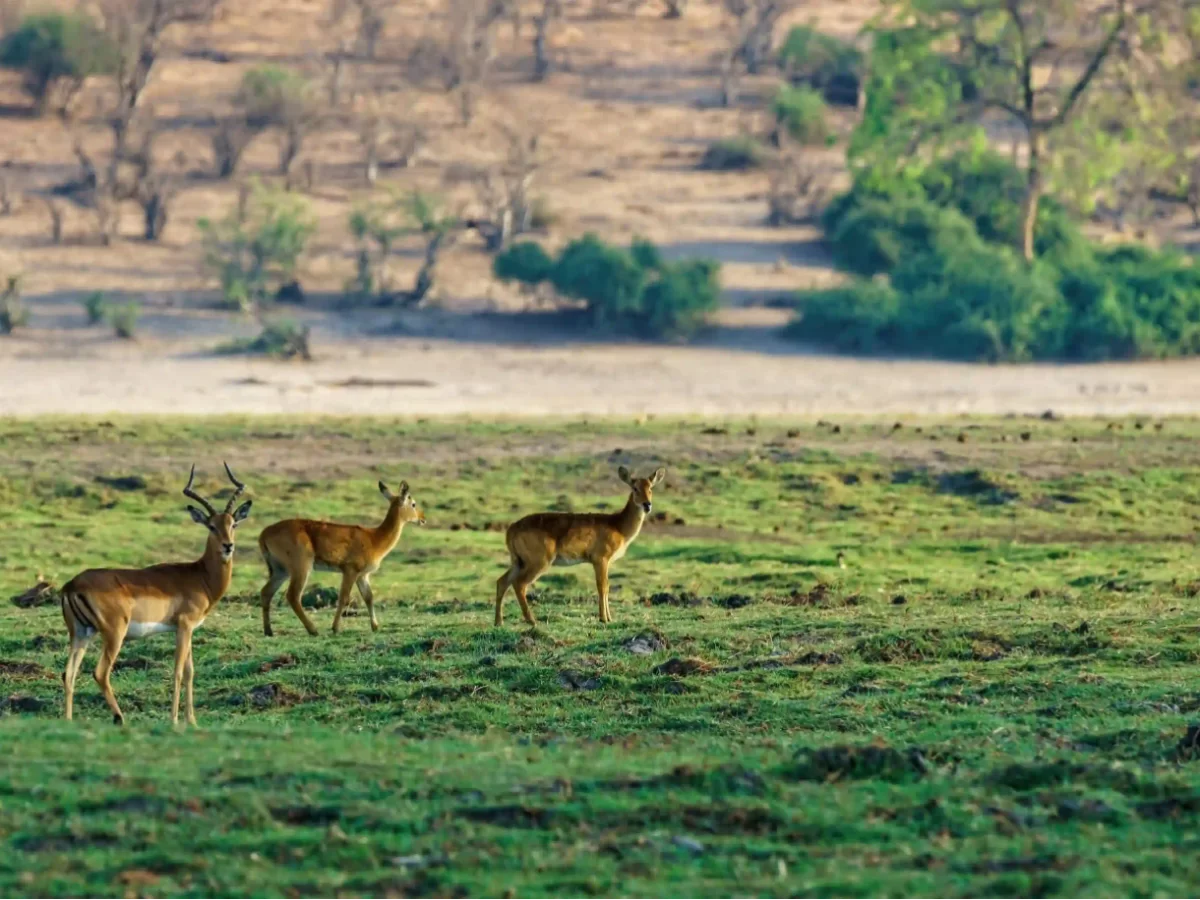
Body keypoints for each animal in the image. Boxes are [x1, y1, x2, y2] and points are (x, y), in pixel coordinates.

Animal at [59, 463, 252, 727]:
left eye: (233, 524)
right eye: (211, 526)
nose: (228, 546)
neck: (200, 576)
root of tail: (72, 585)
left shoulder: (188, 629)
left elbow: (190, 672)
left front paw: (192, 721)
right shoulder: (184, 626)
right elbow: (179, 671)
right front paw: (174, 721)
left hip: (81, 633)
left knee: (68, 673)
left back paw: (68, 721)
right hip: (114, 634)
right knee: (100, 673)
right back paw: (120, 718)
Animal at [257, 480, 426, 636]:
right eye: (413, 503)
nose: (423, 519)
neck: (374, 538)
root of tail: (264, 533)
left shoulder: (362, 575)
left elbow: (369, 597)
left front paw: (375, 626)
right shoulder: (350, 571)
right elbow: (344, 597)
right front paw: (335, 628)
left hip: (281, 570)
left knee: (266, 592)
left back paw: (269, 631)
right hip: (301, 568)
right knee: (293, 595)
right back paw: (313, 629)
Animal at [495, 465, 666, 627]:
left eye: (650, 488)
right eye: (635, 487)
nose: (647, 505)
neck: (618, 526)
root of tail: (512, 529)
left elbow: (607, 586)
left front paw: (609, 618)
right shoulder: (600, 559)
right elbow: (602, 586)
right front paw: (604, 619)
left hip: (518, 561)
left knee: (502, 581)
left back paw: (499, 621)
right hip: (538, 562)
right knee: (519, 584)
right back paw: (532, 621)